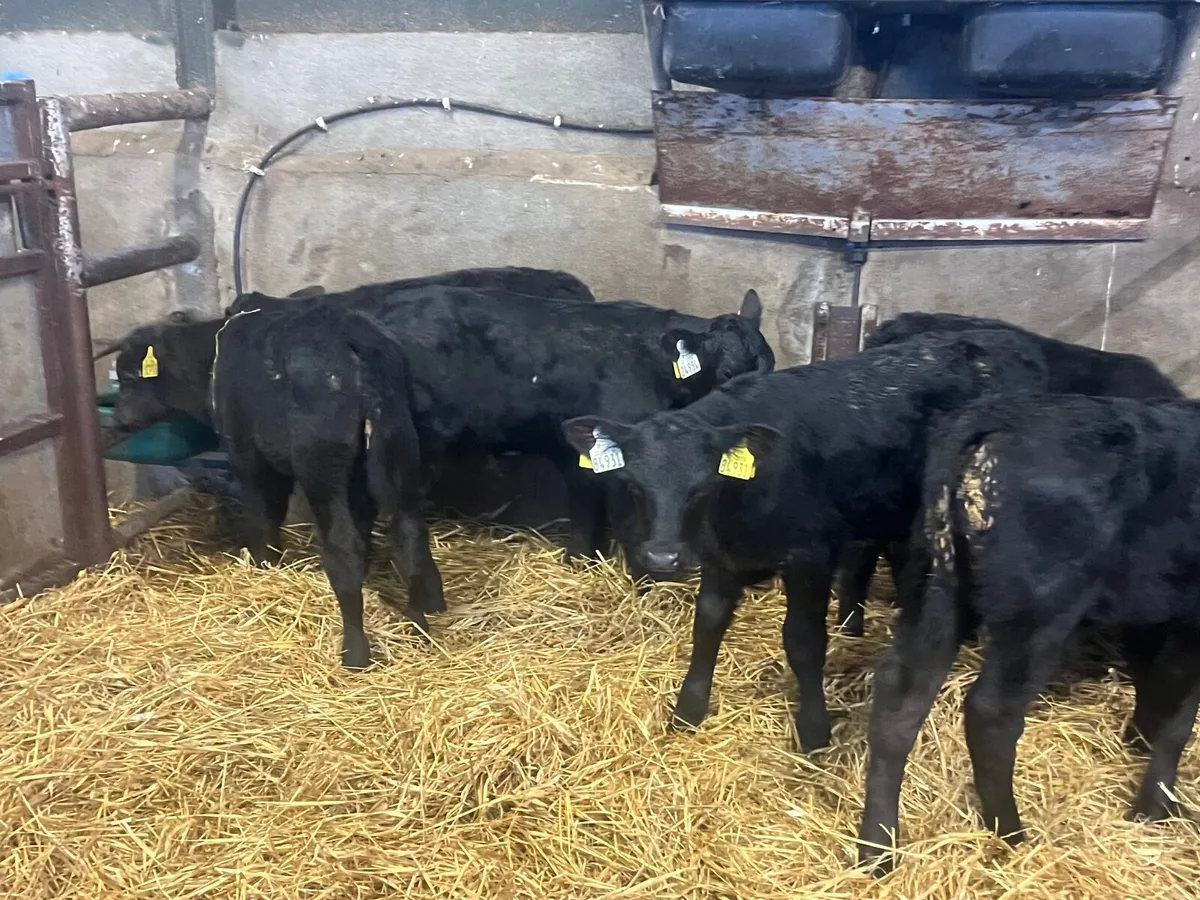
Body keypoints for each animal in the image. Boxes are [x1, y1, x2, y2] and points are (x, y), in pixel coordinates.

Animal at [114, 305, 440, 669]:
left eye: (130, 378)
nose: (119, 418)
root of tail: (355, 341)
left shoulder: (250, 458)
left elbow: (265, 516)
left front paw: (265, 565)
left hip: (320, 464)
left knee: (343, 547)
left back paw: (355, 652)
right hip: (400, 447)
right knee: (409, 534)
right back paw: (417, 629)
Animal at [561, 330, 1053, 752]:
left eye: (702, 487)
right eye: (634, 485)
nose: (664, 557)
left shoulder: (809, 558)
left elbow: (802, 640)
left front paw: (815, 731)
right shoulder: (721, 558)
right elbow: (708, 625)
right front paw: (688, 712)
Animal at [857, 393, 1200, 873]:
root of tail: (998, 416)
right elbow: (1180, 713)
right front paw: (1155, 807)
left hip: (934, 587)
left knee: (900, 700)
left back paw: (877, 849)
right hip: (1039, 610)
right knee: (991, 712)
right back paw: (1012, 834)